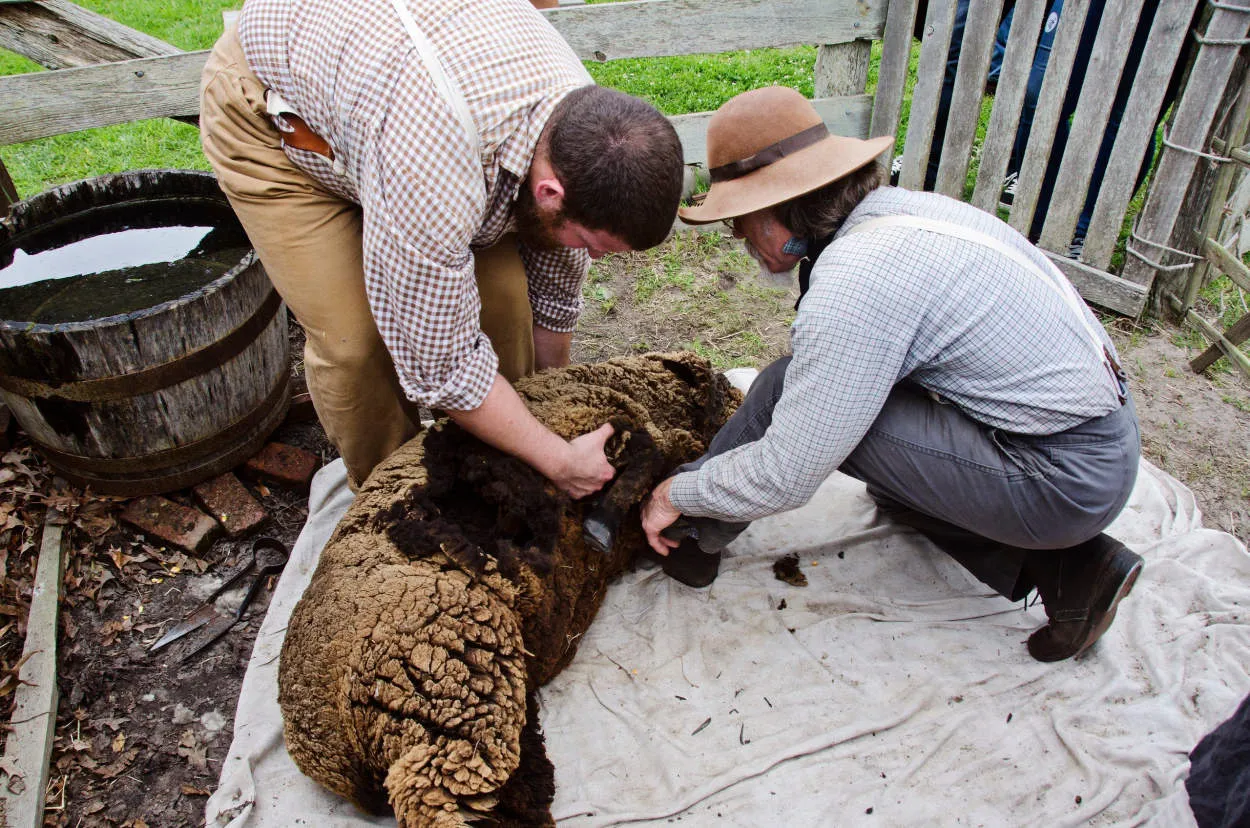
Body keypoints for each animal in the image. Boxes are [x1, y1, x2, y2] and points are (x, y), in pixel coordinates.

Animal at [276, 352, 740, 828]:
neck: (633, 387)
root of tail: (333, 748)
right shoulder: (597, 426)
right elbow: (645, 453)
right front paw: (602, 523)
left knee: (509, 794)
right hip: (446, 688)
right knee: (433, 796)